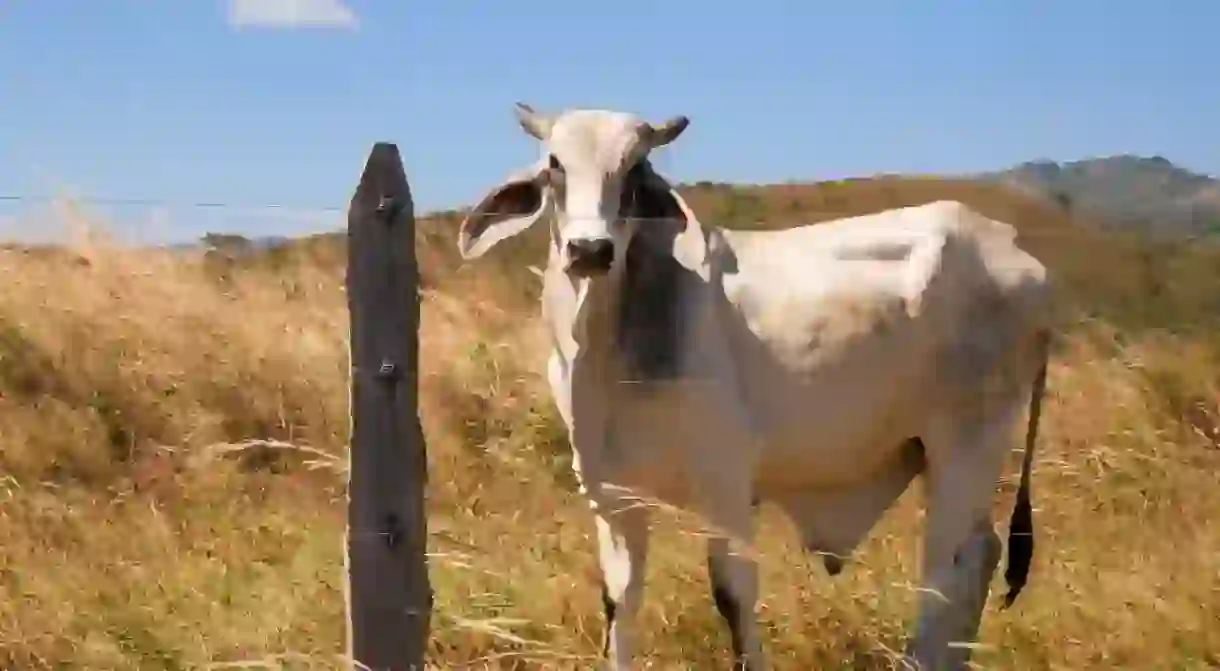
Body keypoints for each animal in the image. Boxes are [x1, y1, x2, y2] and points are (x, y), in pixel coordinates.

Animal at [453, 102, 1054, 668]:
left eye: (634, 168)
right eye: (555, 164)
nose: (589, 249)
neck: (605, 348)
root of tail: (1021, 255)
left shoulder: (726, 484)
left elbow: (732, 596)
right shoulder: (611, 494)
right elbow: (619, 602)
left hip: (966, 444)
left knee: (952, 569)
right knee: (977, 560)